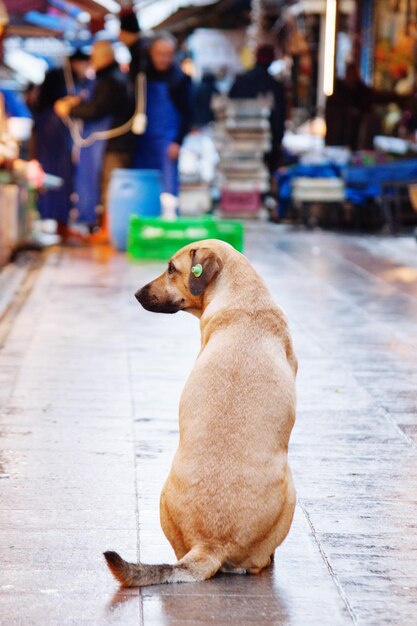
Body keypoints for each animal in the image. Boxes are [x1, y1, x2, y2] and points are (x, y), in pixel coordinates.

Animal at [105, 238, 300, 584]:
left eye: (171, 268)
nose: (137, 294)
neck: (242, 296)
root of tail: (210, 545)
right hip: (291, 495)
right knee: (259, 562)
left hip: (163, 497)